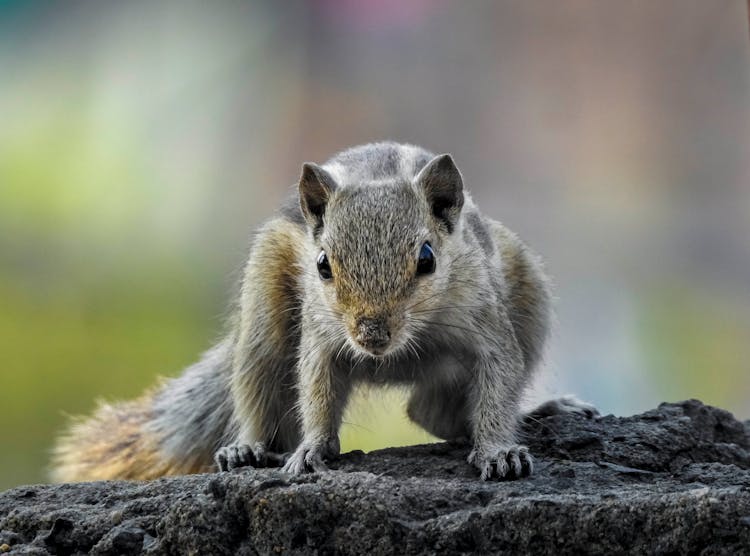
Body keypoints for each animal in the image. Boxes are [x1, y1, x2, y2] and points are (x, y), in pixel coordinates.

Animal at [51, 140, 600, 482]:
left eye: (427, 258)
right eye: (322, 265)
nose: (372, 335)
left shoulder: (488, 325)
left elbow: (496, 387)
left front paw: (499, 450)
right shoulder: (321, 336)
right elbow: (315, 388)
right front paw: (313, 448)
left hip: (529, 294)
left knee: (429, 411)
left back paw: (542, 411)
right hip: (264, 313)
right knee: (260, 387)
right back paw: (248, 448)